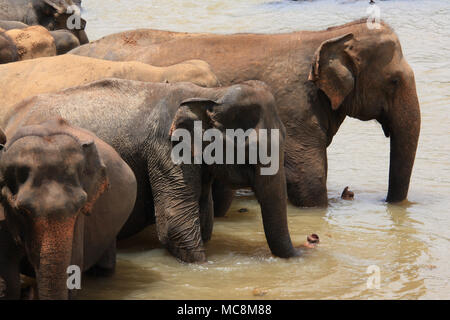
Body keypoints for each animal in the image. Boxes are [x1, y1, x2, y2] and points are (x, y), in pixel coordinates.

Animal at [2, 79, 298, 264]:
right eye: (253, 149)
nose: (302, 250)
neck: (210, 93)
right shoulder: (166, 149)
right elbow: (175, 224)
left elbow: (204, 221)